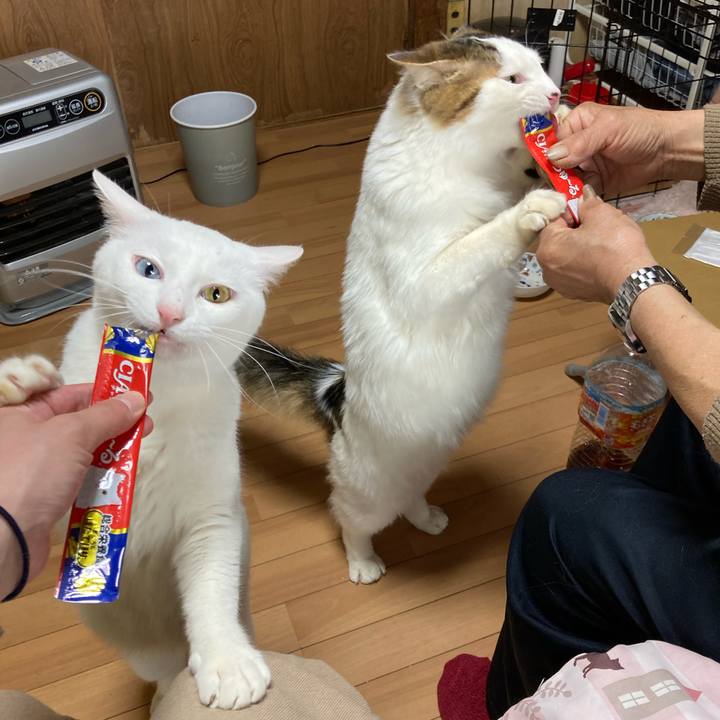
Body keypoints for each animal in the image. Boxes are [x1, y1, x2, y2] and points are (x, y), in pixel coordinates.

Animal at [0, 171, 302, 710]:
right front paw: (26, 386)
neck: (155, 394)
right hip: (132, 642)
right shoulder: (59, 521)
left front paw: (227, 661)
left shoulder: (211, 518)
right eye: (148, 269)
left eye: (216, 294)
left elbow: (210, 587)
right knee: (161, 672)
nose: (170, 312)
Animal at [236, 28, 568, 584]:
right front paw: (534, 206)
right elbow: (484, 238)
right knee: (350, 519)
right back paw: (363, 563)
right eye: (512, 79)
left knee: (410, 494)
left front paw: (547, 156)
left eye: (542, 66)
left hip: (425, 462)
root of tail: (335, 389)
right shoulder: (427, 278)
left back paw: (428, 518)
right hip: (367, 488)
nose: (558, 93)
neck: (466, 162)